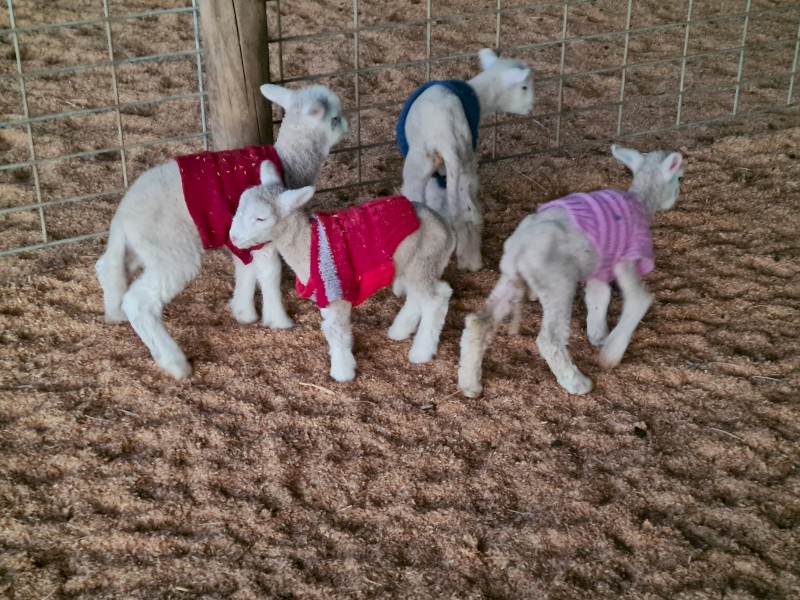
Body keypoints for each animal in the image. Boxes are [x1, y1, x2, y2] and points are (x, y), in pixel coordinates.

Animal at [95, 84, 348, 379]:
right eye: (334, 118)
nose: (347, 122)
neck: (290, 162)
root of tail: (123, 215)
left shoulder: (241, 236)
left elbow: (246, 270)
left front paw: (243, 312)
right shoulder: (263, 234)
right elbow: (270, 272)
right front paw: (279, 320)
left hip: (141, 248)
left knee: (108, 268)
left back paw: (115, 313)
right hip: (172, 251)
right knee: (139, 301)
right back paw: (174, 362)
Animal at [229, 161, 455, 383]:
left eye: (261, 218)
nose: (233, 238)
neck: (307, 243)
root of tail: (446, 228)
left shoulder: (337, 292)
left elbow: (335, 331)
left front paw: (342, 373)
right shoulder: (325, 296)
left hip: (423, 261)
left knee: (436, 299)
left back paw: (421, 352)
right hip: (411, 265)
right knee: (421, 296)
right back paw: (400, 331)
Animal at [396, 48, 534, 272]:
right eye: (524, 87)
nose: (531, 107)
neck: (478, 95)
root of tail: (445, 136)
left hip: (424, 161)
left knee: (419, 197)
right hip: (462, 161)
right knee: (470, 211)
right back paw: (471, 260)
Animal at [458, 145, 685, 397]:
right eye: (680, 178)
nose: (676, 198)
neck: (642, 200)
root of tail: (519, 248)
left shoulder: (600, 266)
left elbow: (599, 297)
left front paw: (599, 335)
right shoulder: (628, 257)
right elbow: (638, 300)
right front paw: (611, 353)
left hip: (511, 279)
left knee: (478, 322)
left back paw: (469, 383)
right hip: (557, 283)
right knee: (549, 340)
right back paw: (577, 382)